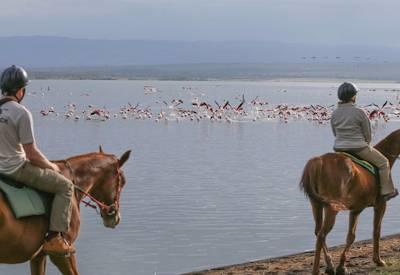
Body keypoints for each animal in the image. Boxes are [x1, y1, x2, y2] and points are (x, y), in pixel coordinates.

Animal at [300, 130, 400, 275]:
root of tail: (319, 161)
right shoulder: (381, 205)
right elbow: (376, 231)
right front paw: (378, 261)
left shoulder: (356, 209)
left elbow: (351, 236)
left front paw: (341, 266)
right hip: (332, 209)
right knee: (321, 235)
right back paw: (317, 270)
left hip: (316, 205)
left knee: (318, 232)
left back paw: (329, 265)